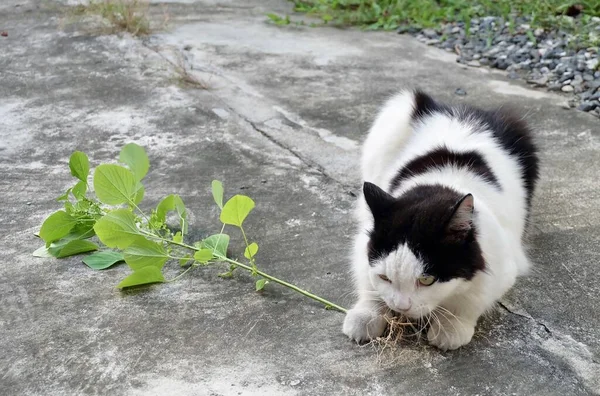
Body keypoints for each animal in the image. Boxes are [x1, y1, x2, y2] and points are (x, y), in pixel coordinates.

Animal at [342, 89, 540, 350]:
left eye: (426, 280)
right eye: (385, 277)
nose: (401, 307)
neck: (439, 186)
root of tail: (460, 110)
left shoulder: (501, 264)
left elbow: (472, 299)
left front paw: (451, 327)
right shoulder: (362, 246)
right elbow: (367, 282)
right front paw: (366, 316)